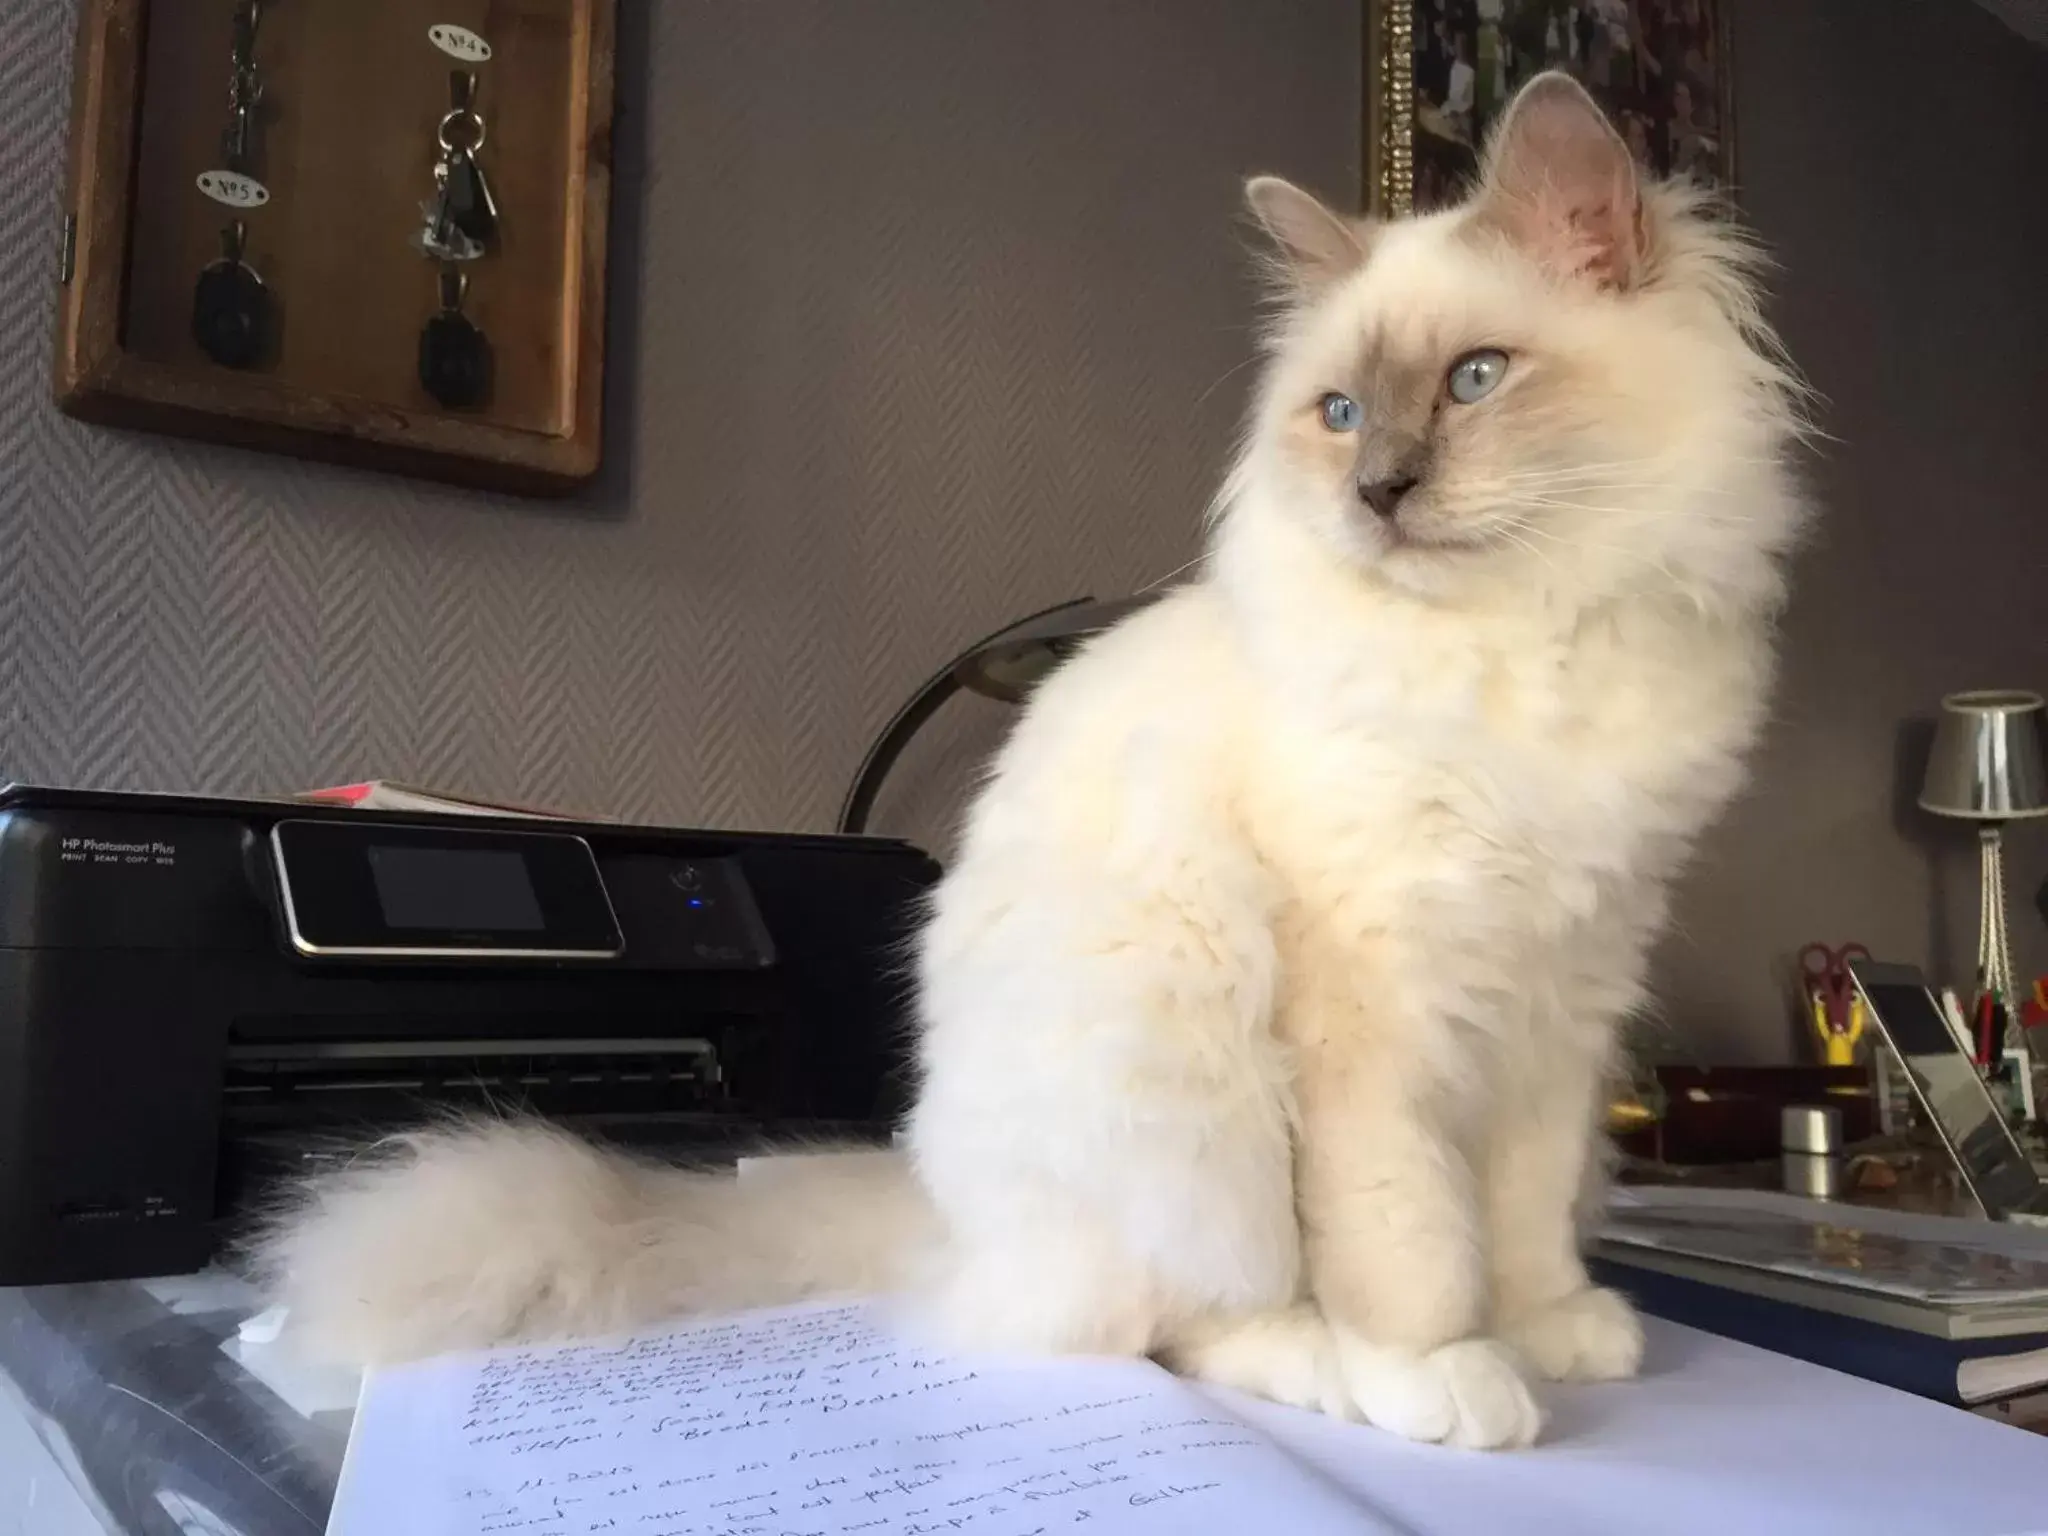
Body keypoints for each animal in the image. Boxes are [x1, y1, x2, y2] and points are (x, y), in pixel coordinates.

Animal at [256, 75, 1810, 1458]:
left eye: (1477, 380)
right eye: (1341, 417)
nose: (1377, 495)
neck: (1528, 643)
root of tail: (944, 1218)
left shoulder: (1568, 993)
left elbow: (1528, 1215)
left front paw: (1553, 1332)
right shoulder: (1378, 1014)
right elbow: (1413, 1244)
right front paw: (1450, 1375)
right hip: (1195, 1077)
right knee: (1179, 1327)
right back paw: (1337, 1372)